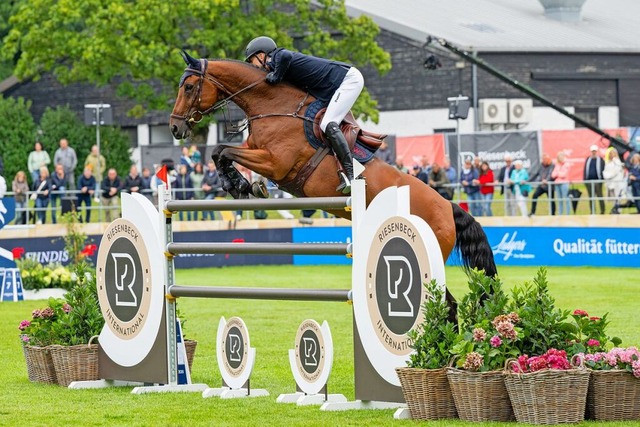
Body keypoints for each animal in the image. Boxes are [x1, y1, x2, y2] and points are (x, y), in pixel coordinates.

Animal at [169, 51, 496, 316]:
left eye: (188, 86)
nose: (174, 127)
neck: (272, 104)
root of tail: (448, 206)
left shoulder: (275, 162)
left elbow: (225, 151)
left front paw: (242, 185)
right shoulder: (257, 152)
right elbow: (219, 150)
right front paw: (240, 185)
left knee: (442, 304)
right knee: (447, 305)